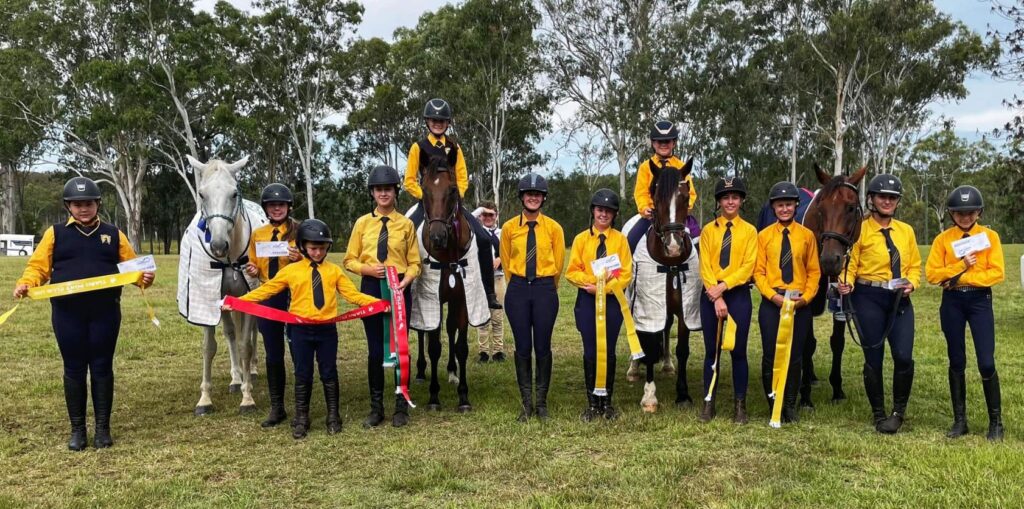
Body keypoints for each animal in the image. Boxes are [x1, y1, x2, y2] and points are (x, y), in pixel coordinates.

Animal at [182, 154, 266, 413]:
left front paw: (247, 398)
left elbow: (245, 345)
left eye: (234, 193)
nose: (219, 245)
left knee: (251, 335)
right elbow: (209, 347)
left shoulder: (248, 297)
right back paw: (236, 378)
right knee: (230, 334)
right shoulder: (207, 299)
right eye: (201, 194)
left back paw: (252, 371)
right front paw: (205, 399)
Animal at [798, 164, 864, 403]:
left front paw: (837, 388)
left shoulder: (841, 297)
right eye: (820, 209)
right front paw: (804, 396)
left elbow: (837, 342)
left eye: (851, 208)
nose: (829, 260)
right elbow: (807, 344)